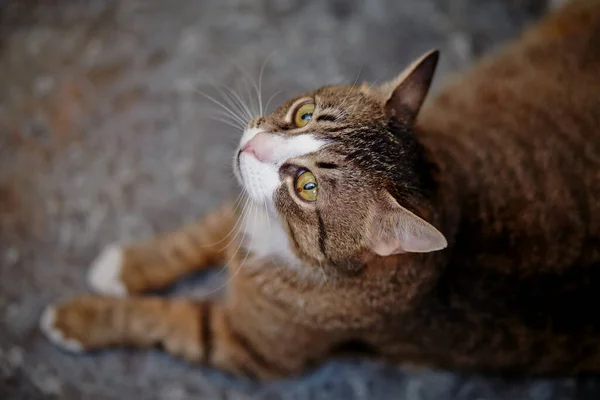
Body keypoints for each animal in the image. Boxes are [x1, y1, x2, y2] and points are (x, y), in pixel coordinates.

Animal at [39, 0, 596, 380]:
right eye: (304, 114)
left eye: (307, 186)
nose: (253, 144)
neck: (274, 238)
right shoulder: (242, 204)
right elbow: (193, 238)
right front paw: (126, 266)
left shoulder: (247, 347)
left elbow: (163, 319)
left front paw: (81, 317)